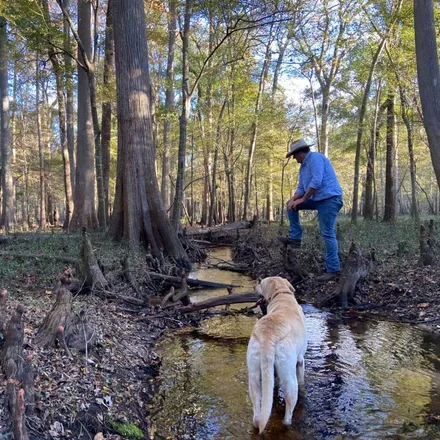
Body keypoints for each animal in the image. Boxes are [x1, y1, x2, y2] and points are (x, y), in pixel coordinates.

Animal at [248, 276, 306, 434]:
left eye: (261, 283)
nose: (254, 285)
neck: (282, 294)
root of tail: (268, 336)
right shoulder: (300, 360)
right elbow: (302, 380)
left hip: (254, 376)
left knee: (257, 415)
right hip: (289, 378)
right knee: (289, 408)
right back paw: (288, 423)